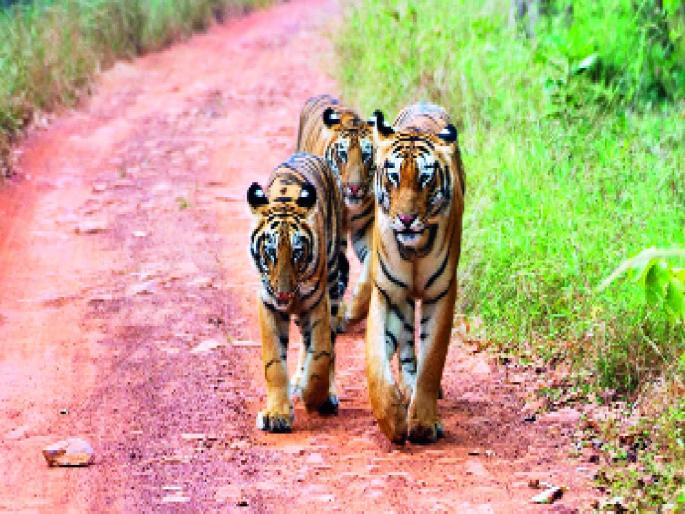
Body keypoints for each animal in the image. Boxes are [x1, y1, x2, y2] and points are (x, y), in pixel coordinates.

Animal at [247, 152, 349, 433]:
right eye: (270, 252)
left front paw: (314, 396)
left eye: (297, 253)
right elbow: (274, 363)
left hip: (333, 283)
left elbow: (322, 355)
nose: (283, 295)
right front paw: (276, 414)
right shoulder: (268, 304)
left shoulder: (317, 302)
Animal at [296, 94, 376, 328]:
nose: (354, 187)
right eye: (343, 155)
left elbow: (370, 269)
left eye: (367, 156)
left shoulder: (366, 226)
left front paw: (355, 309)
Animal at [365, 102, 465, 444]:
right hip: (404, 300)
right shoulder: (386, 293)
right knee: (406, 346)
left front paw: (422, 423)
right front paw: (392, 418)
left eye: (424, 179)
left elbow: (432, 361)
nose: (406, 219)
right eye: (393, 176)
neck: (414, 250)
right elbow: (375, 361)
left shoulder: (442, 294)